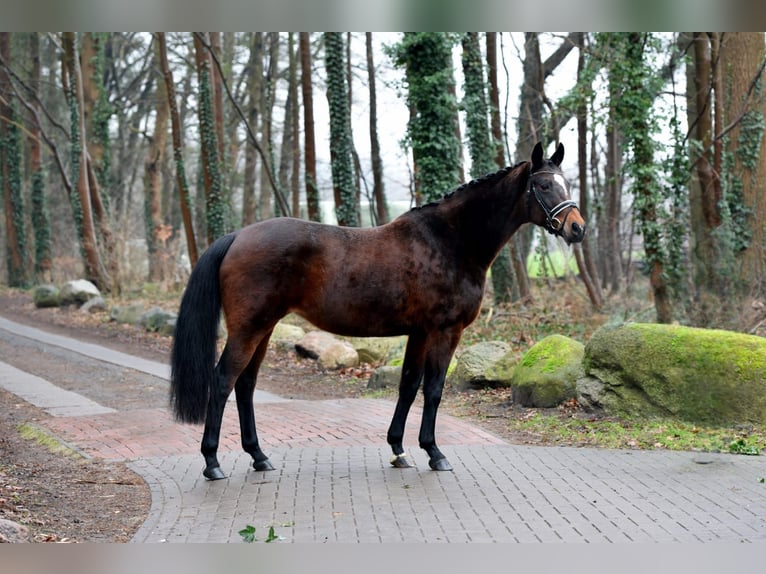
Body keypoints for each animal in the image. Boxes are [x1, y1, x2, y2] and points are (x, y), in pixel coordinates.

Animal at [171, 143, 584, 482]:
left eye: (566, 182)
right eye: (543, 186)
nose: (576, 228)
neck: (451, 241)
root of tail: (237, 236)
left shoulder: (419, 332)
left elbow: (409, 386)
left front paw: (399, 449)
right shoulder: (445, 331)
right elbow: (434, 389)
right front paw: (435, 453)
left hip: (265, 328)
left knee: (245, 385)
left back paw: (258, 456)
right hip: (249, 328)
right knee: (223, 381)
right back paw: (212, 462)